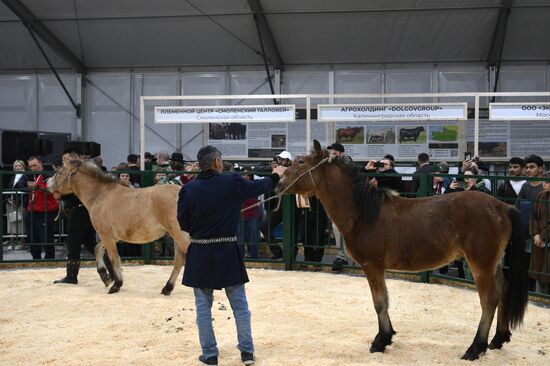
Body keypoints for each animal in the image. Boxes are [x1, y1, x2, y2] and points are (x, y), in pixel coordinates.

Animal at [49, 156, 192, 296]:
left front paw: (116, 284)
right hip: (176, 237)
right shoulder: (109, 236)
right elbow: (97, 249)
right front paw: (105, 277)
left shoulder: (107, 236)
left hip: (180, 235)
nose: (47, 183)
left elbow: (114, 258)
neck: (99, 195)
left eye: (60, 172)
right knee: (179, 260)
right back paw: (167, 288)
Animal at [276, 140, 532, 360]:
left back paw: (475, 348)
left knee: (489, 300)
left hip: (480, 264)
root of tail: (502, 206)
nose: (278, 185)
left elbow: (379, 302)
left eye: (301, 162)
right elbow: (385, 301)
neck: (363, 213)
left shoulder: (372, 265)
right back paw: (498, 339)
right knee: (503, 290)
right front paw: (387, 337)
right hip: (493, 263)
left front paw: (380, 341)